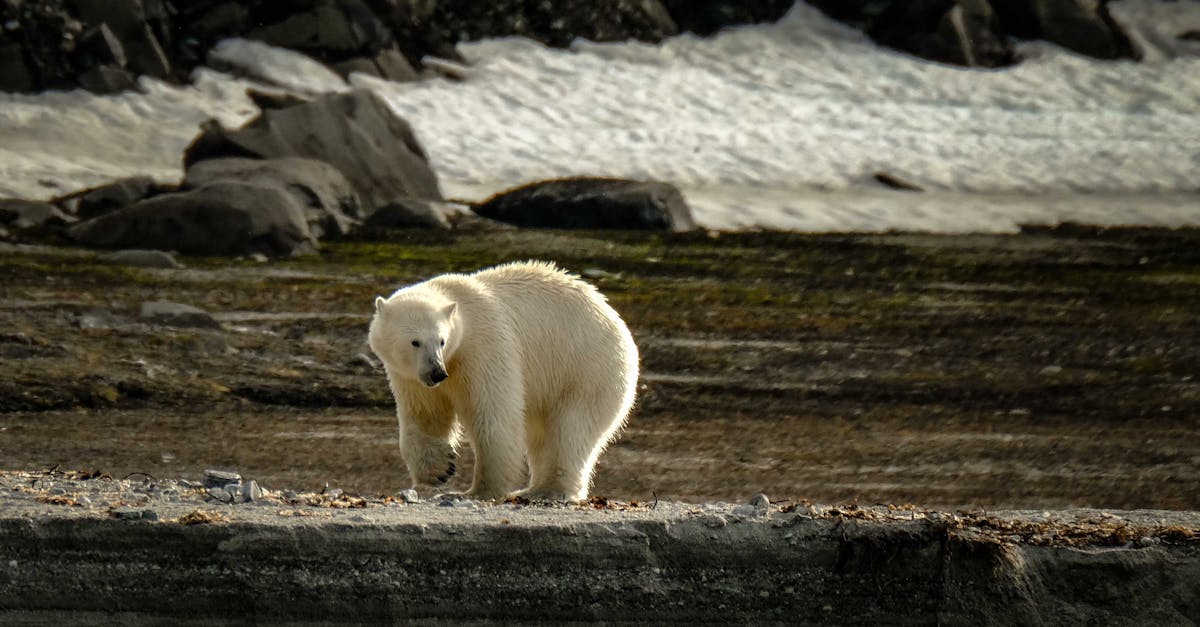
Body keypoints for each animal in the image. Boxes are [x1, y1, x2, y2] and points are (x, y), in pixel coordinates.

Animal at [369, 258, 643, 497]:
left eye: (441, 340)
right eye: (415, 342)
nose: (437, 372)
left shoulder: (484, 346)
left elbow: (493, 414)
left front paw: (481, 490)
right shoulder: (411, 376)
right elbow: (425, 414)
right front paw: (439, 469)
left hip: (588, 368)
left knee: (571, 428)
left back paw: (547, 489)